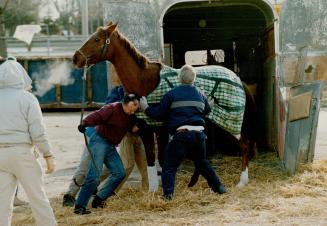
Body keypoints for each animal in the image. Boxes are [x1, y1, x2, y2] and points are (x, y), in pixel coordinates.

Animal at [73, 23, 258, 188]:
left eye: (97, 39)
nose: (76, 58)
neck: (144, 81)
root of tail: (238, 79)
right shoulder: (156, 129)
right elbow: (158, 160)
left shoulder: (150, 129)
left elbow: (154, 159)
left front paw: (155, 189)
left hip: (230, 122)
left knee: (245, 145)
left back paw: (242, 182)